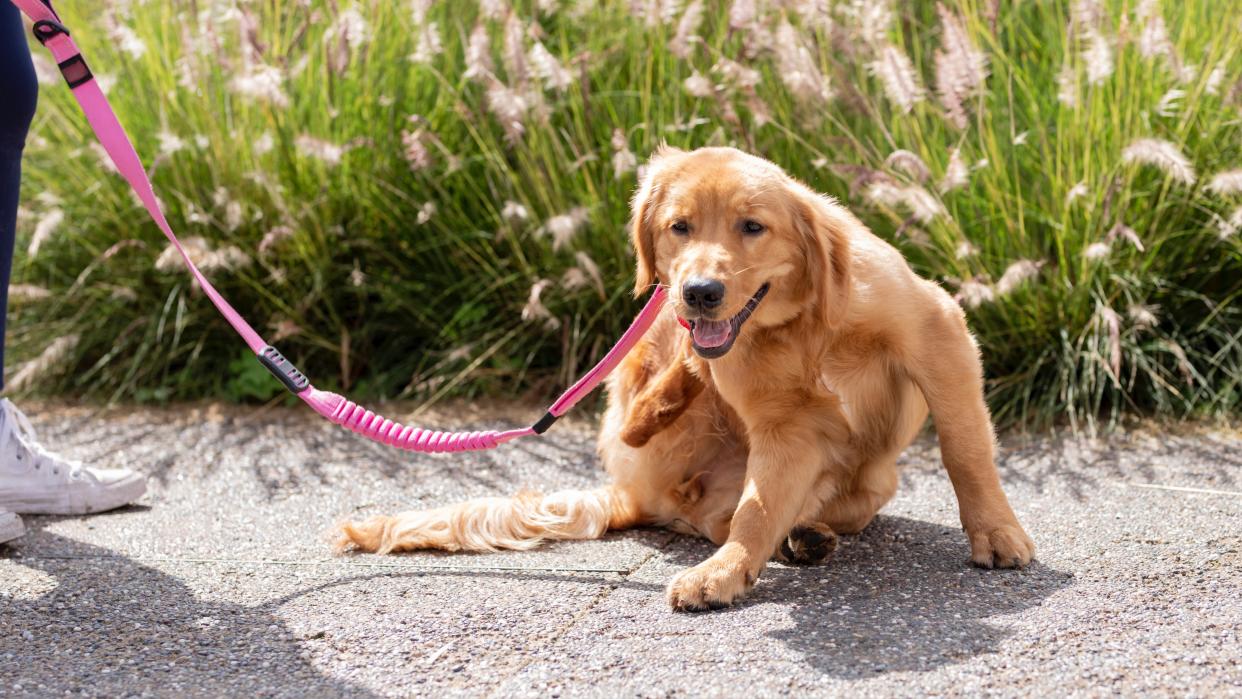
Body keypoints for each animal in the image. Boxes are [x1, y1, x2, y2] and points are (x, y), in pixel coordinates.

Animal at [335, 147, 1033, 613]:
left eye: (752, 225)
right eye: (680, 226)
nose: (699, 292)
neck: (802, 324)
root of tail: (632, 493)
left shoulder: (938, 334)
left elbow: (965, 449)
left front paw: (996, 532)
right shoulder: (786, 429)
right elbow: (756, 512)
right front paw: (725, 573)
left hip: (874, 474)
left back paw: (808, 534)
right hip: (652, 363)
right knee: (670, 445)